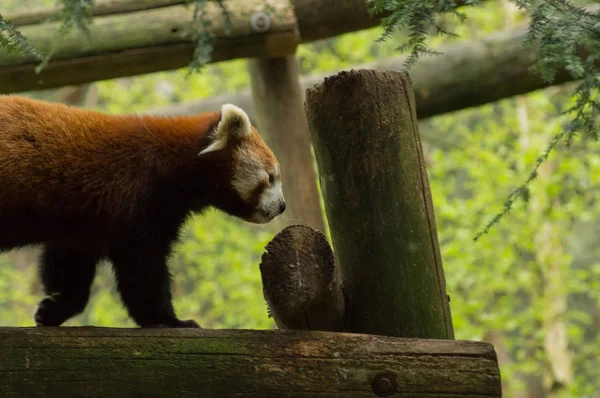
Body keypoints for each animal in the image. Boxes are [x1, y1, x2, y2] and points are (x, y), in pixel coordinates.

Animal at [0, 95, 286, 328]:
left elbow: (70, 264)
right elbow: (142, 269)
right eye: (270, 178)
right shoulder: (136, 201)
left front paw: (53, 309)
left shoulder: (84, 222)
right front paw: (169, 321)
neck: (172, 164)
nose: (282, 206)